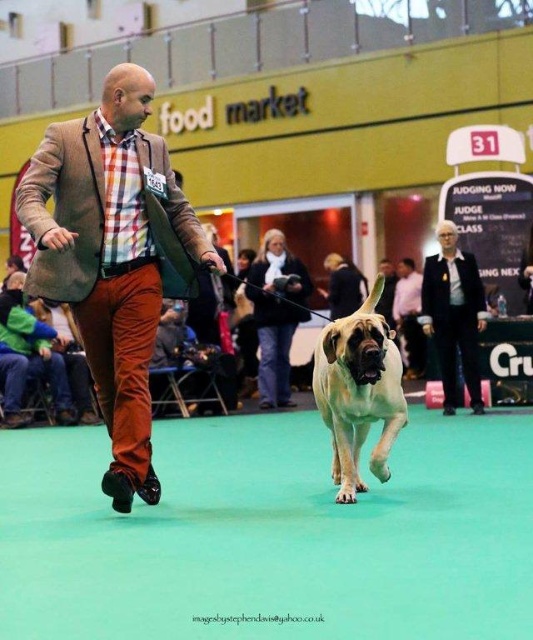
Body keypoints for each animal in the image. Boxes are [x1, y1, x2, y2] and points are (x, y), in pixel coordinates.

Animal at [312, 276, 408, 504]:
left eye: (379, 337)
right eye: (354, 340)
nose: (373, 353)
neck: (361, 387)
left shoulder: (398, 415)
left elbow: (378, 453)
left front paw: (383, 473)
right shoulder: (342, 422)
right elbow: (345, 457)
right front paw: (347, 489)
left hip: (364, 424)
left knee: (357, 448)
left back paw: (359, 480)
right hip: (328, 415)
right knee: (336, 443)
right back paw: (339, 473)